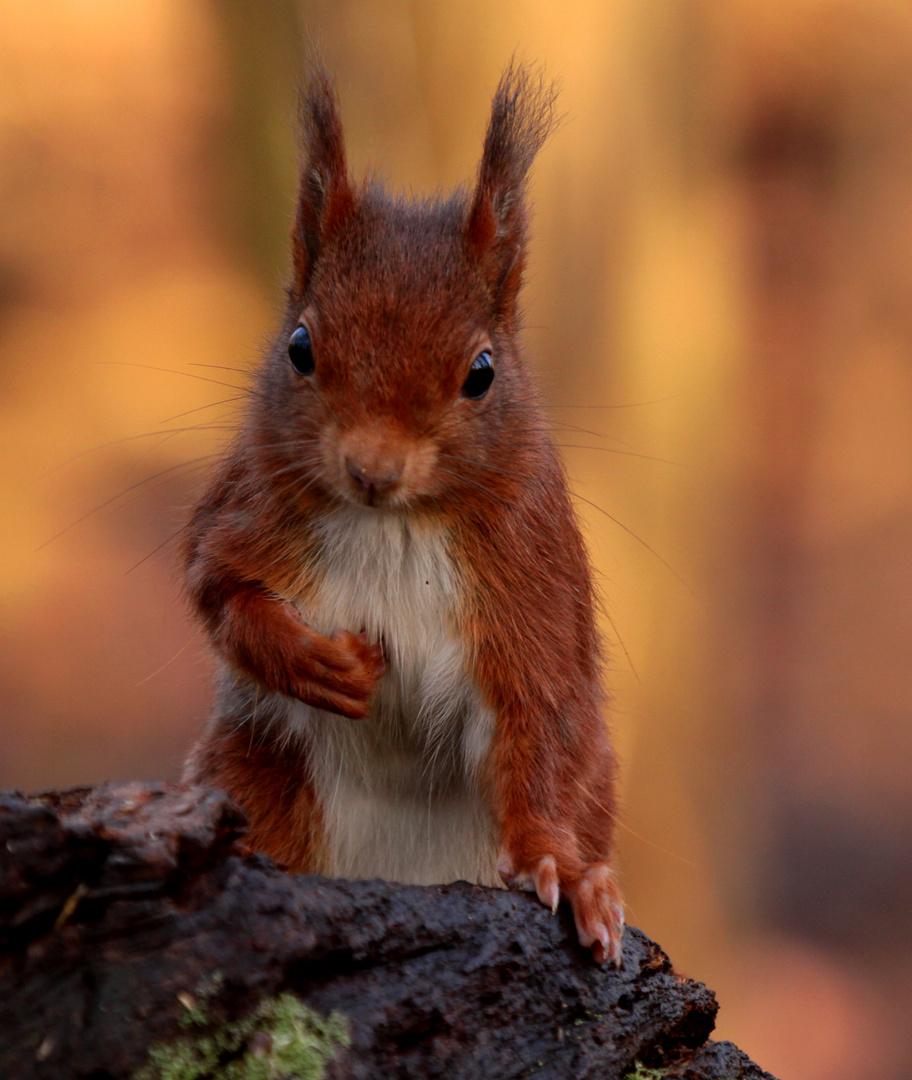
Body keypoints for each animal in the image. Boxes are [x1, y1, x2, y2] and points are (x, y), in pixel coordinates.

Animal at [184, 65, 626, 963]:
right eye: (300, 347)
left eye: (482, 372)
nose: (372, 469)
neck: (394, 524)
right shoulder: (241, 510)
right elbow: (220, 595)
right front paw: (320, 663)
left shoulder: (532, 589)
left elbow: (542, 723)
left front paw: (566, 871)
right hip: (255, 778)